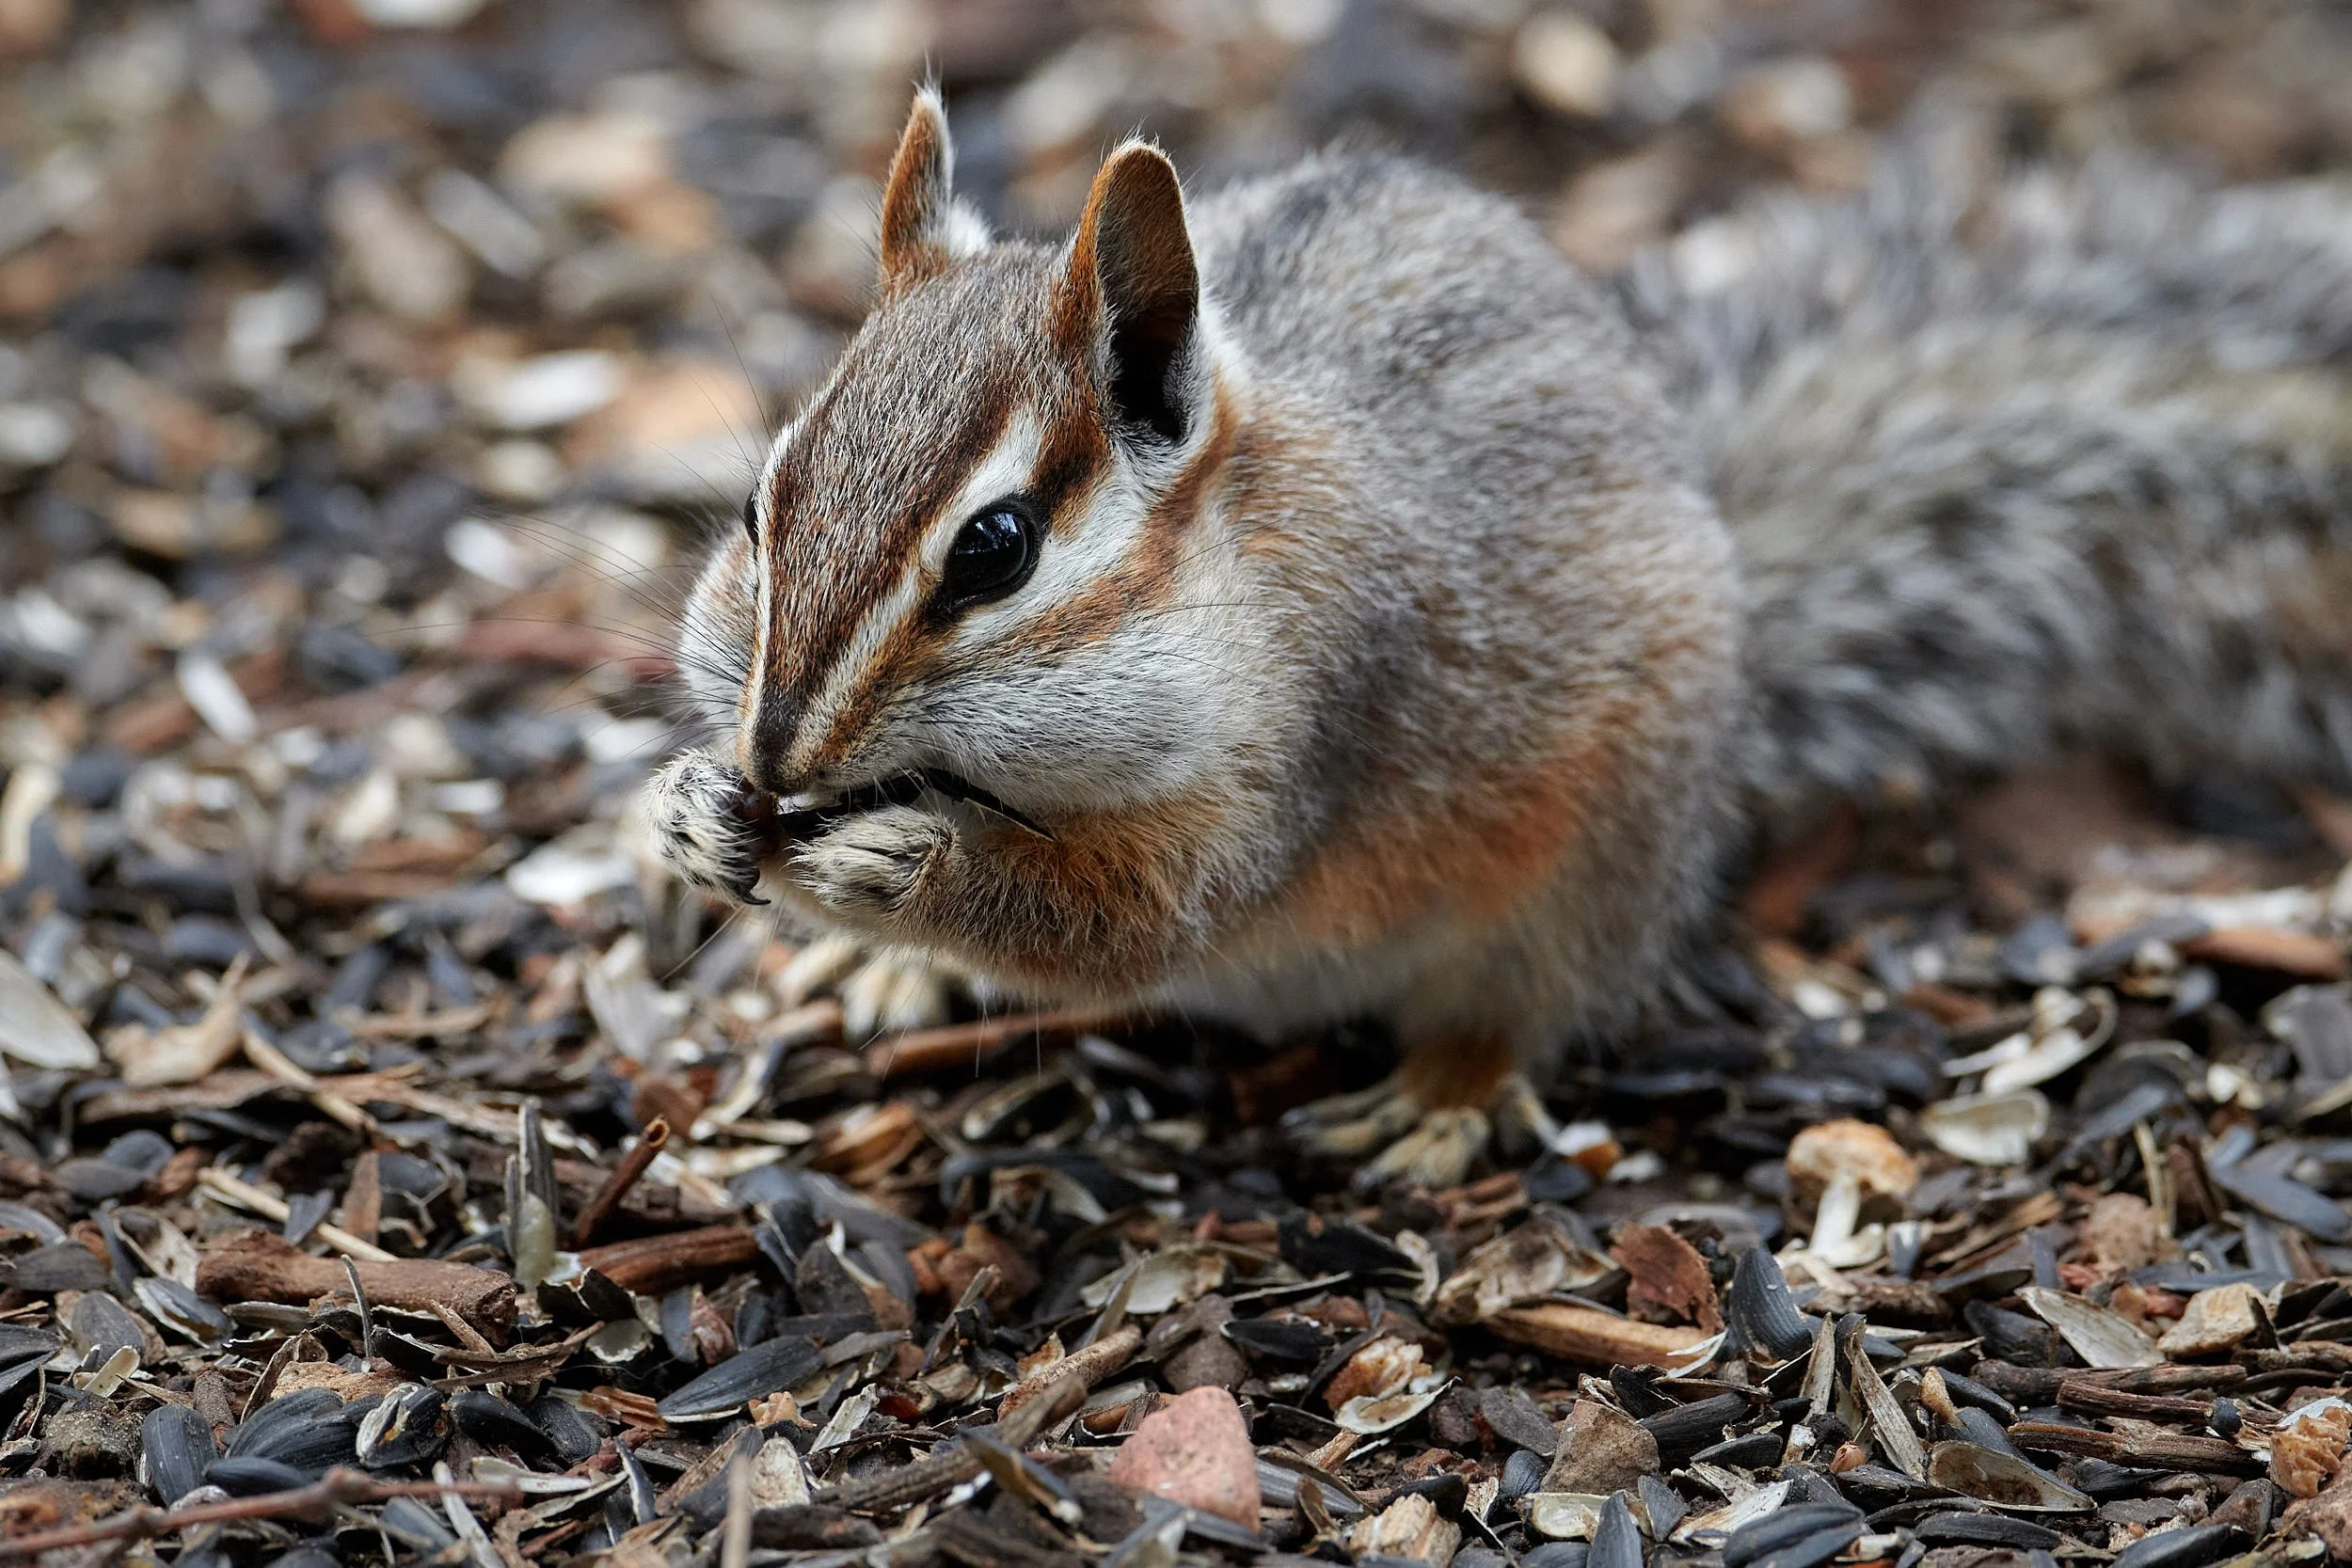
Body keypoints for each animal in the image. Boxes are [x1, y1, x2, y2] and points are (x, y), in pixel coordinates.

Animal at [647, 91, 2352, 1187]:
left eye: (995, 549)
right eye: (760, 504)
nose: (776, 754)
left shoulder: (1303, 740)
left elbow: (1135, 916)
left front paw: (893, 866)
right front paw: (694, 814)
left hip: (1589, 867)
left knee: (1530, 1002)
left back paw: (1444, 1094)